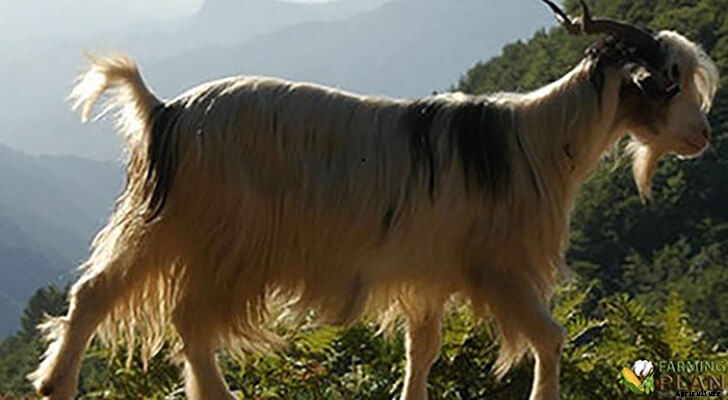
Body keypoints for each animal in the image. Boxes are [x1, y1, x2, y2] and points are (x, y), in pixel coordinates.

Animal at [30, 2, 718, 399]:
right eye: (665, 82)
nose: (704, 135)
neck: (541, 138)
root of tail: (164, 111)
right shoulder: (498, 268)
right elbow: (550, 338)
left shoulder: (429, 275)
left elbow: (423, 352)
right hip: (218, 234)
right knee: (181, 316)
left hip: (168, 225)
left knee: (111, 297)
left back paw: (59, 385)